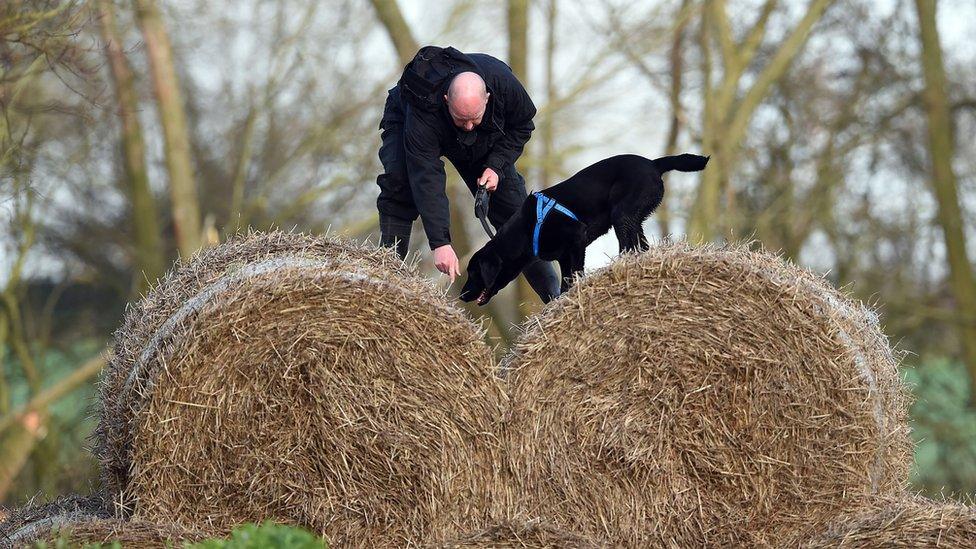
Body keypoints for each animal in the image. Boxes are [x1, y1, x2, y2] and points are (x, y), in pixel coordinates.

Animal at [462, 153, 704, 304]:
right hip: (631, 218)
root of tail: (653, 163)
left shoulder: (577, 240)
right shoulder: (563, 256)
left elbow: (575, 275)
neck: (524, 230)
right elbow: (565, 283)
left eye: (474, 273)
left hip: (622, 214)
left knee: (628, 246)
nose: (462, 295)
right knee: (641, 246)